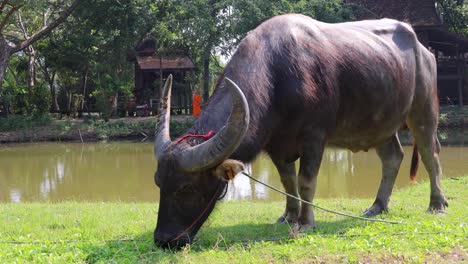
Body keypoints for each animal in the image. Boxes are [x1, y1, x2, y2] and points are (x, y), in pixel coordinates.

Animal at [152, 14, 448, 250]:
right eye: (159, 183)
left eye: (186, 188)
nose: (164, 240)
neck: (276, 77)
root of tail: (424, 50)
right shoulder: (277, 145)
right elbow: (288, 183)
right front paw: (288, 216)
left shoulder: (314, 138)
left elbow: (306, 181)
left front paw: (305, 222)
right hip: (381, 125)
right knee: (392, 157)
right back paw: (377, 206)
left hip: (424, 111)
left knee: (430, 155)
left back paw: (437, 203)